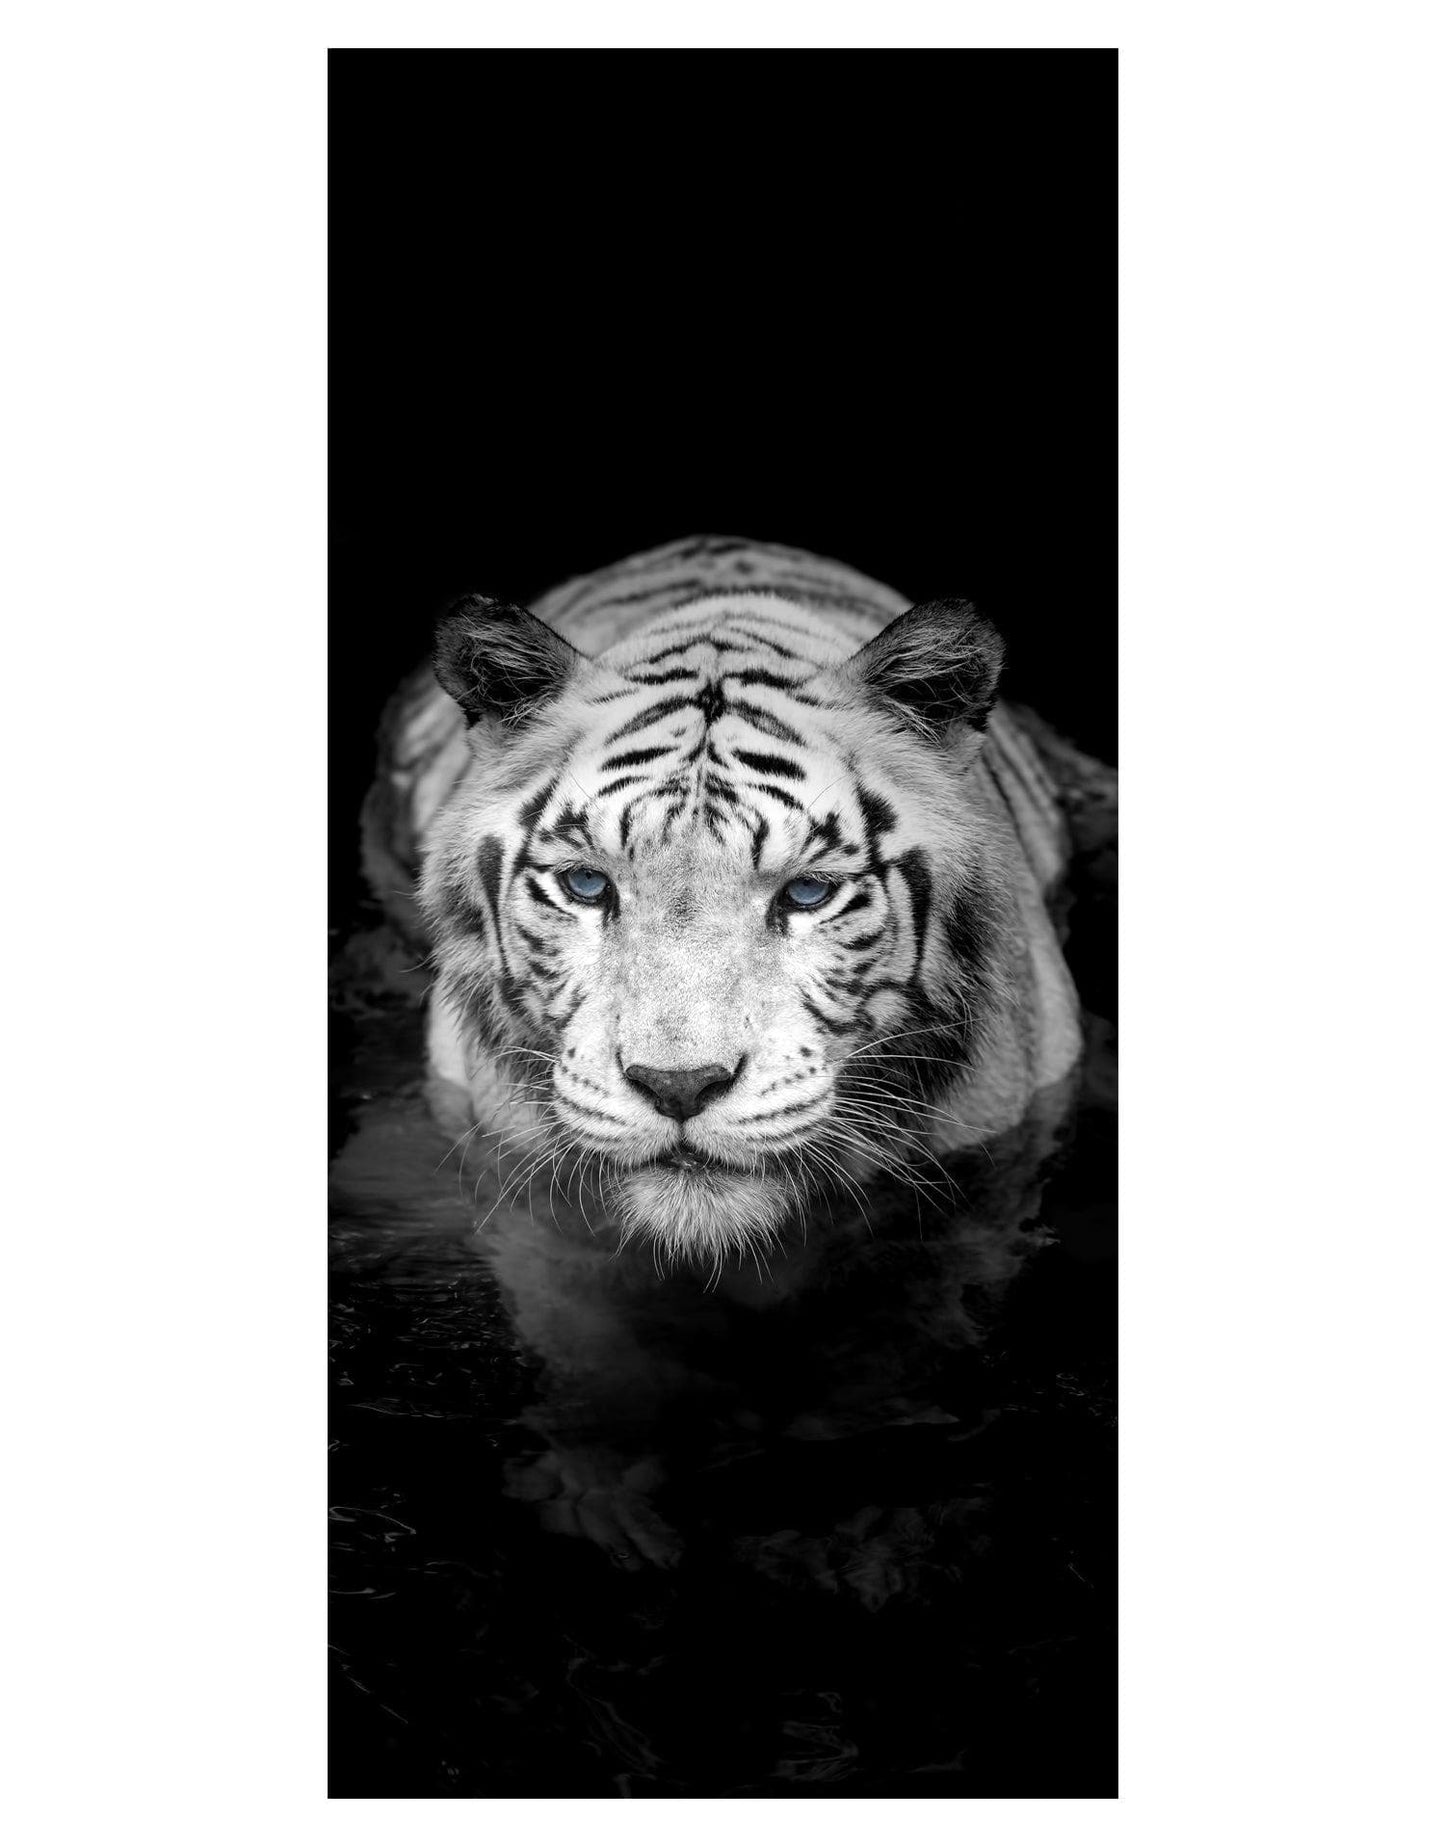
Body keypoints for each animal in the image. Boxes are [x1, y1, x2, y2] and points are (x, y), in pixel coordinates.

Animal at [358, 534, 1111, 1568]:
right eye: (587, 886)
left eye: (806, 895)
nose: (679, 1086)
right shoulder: (534, 1198)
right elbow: (589, 1345)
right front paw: (603, 1495)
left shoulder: (965, 1205)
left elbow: (893, 1353)